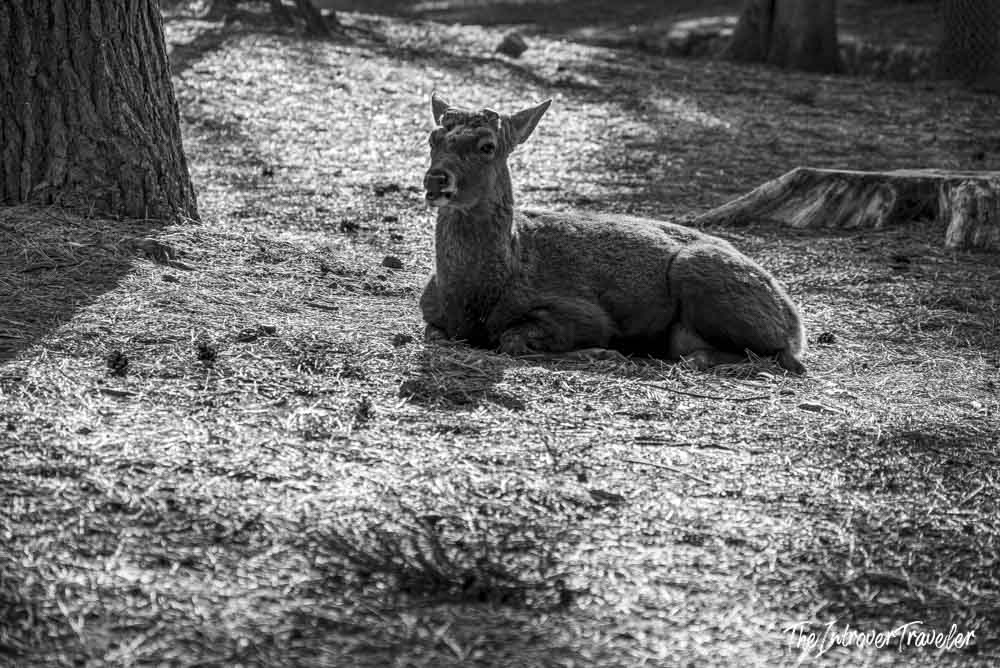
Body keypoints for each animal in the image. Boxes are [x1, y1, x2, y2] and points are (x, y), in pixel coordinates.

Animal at [419, 93, 807, 375]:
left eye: (487, 145)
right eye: (433, 138)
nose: (436, 179)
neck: (473, 299)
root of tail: (795, 321)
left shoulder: (583, 312)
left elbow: (513, 339)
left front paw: (600, 353)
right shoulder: (430, 311)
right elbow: (433, 332)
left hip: (701, 273)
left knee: (785, 358)